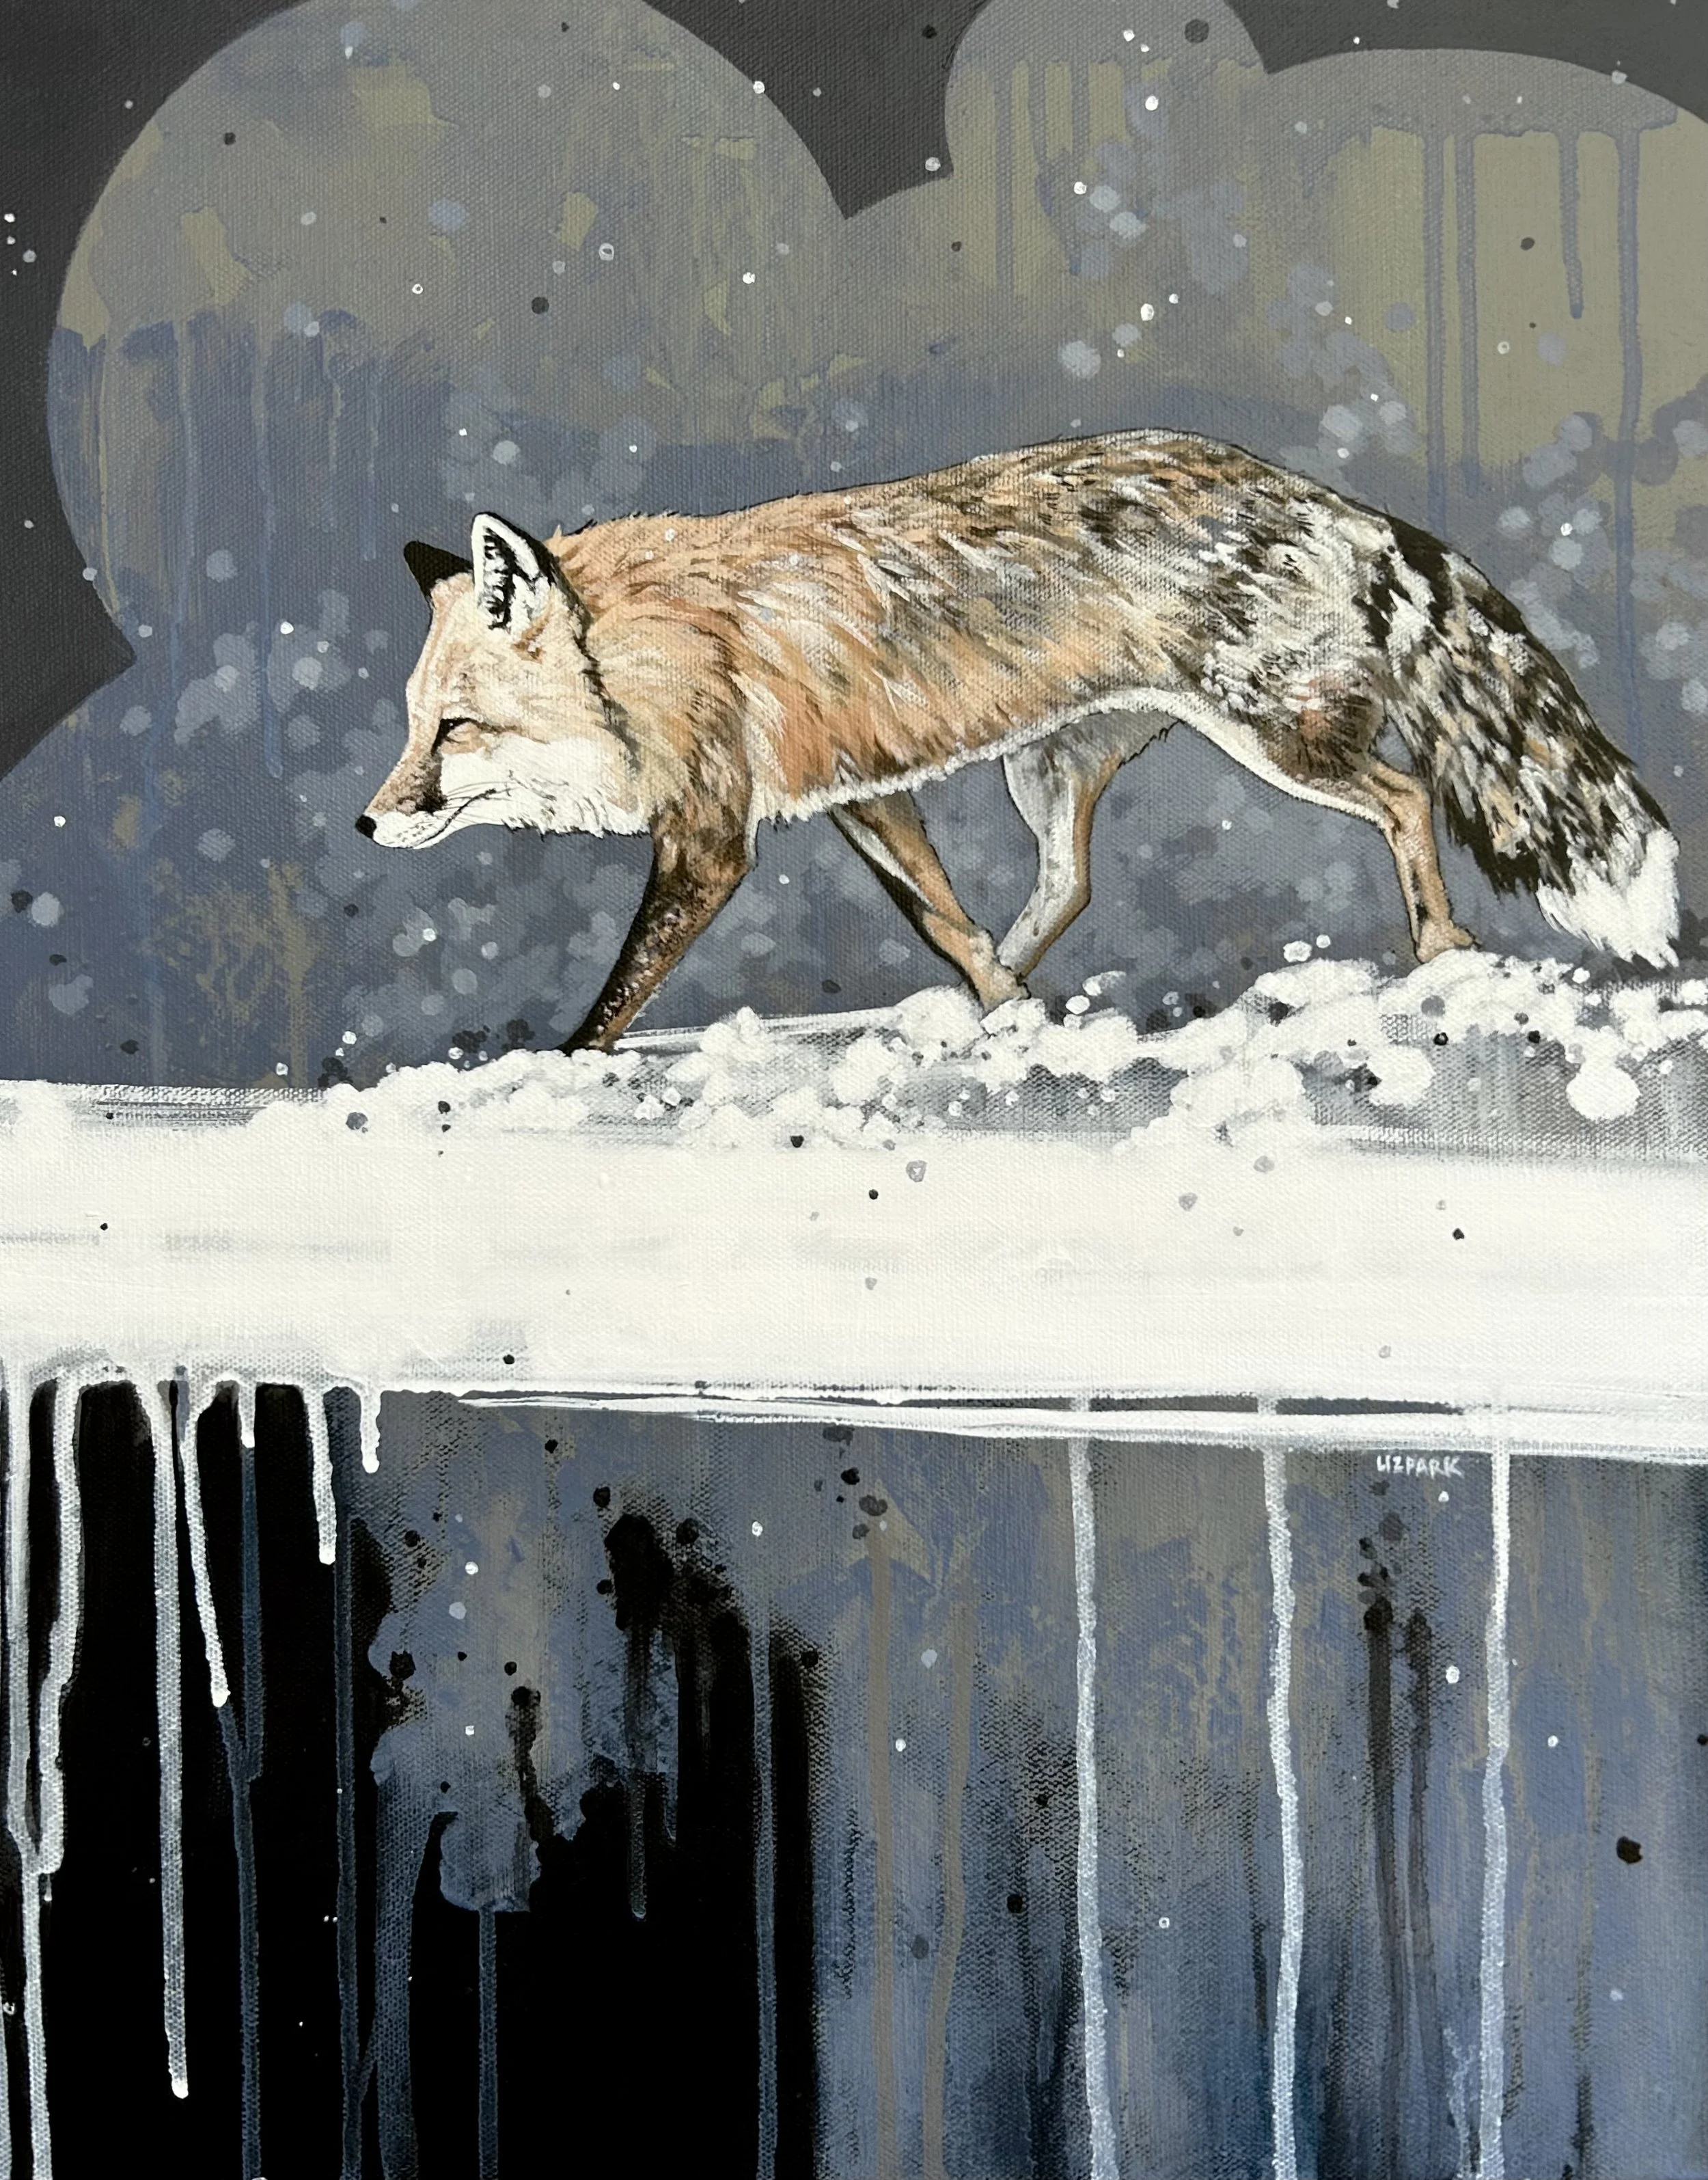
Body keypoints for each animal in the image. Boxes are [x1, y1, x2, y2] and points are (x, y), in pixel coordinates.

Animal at [360, 428, 1681, 1053]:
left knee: (1406, 798)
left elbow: (617, 998)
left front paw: (552, 1066)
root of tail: (1333, 501)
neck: (640, 658)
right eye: (416, 726)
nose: (371, 821)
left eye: (457, 729)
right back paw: (1004, 1004)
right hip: (1050, 769)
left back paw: (1443, 952)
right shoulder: (858, 793)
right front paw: (993, 998)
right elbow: (941, 918)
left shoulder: (713, 835)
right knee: (1070, 884)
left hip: (1278, 741)